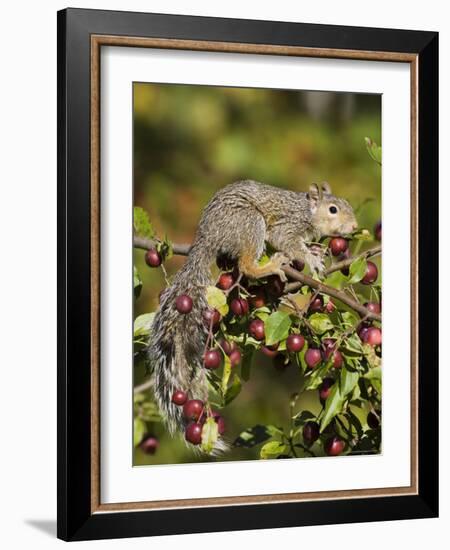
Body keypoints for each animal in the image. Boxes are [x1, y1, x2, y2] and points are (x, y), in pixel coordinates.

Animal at [149, 181, 356, 452]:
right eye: (333, 209)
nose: (354, 227)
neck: (307, 211)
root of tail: (206, 237)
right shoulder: (287, 226)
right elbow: (287, 241)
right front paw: (311, 259)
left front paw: (315, 250)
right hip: (250, 224)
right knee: (246, 265)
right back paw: (270, 266)